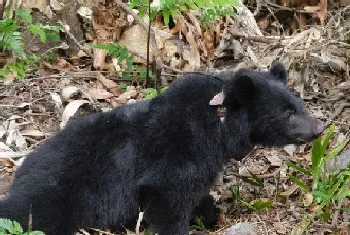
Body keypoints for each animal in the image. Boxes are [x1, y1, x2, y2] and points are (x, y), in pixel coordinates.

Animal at [0, 62, 322, 235]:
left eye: (299, 104)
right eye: (286, 112)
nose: (319, 128)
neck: (218, 125)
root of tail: (19, 177)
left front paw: (208, 212)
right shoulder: (176, 155)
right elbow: (167, 198)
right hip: (58, 198)